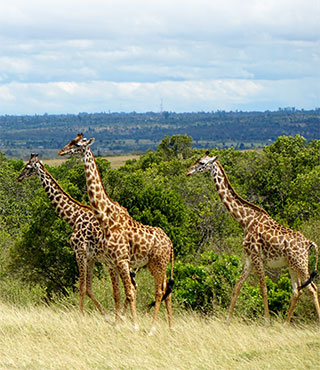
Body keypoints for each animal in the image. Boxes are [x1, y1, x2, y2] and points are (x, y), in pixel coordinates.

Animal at [17, 152, 132, 318]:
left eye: (27, 167)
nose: (19, 177)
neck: (74, 218)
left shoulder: (80, 253)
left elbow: (82, 287)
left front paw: (80, 315)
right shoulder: (91, 258)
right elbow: (89, 288)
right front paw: (104, 315)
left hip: (114, 260)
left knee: (126, 287)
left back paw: (123, 315)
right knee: (131, 286)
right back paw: (123, 315)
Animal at [58, 134, 174, 332]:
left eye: (77, 144)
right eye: (70, 140)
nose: (61, 151)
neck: (107, 219)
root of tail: (170, 243)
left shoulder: (121, 260)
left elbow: (130, 292)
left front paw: (134, 326)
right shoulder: (112, 262)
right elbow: (118, 293)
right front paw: (118, 325)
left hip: (160, 263)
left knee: (159, 291)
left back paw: (152, 329)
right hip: (154, 264)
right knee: (166, 290)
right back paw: (171, 326)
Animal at [185, 152, 320, 326]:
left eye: (201, 162)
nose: (188, 172)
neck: (244, 221)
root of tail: (309, 243)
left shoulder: (256, 257)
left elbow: (263, 289)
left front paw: (267, 323)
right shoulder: (249, 259)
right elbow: (237, 287)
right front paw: (227, 321)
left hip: (300, 263)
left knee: (312, 289)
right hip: (292, 265)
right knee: (297, 290)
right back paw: (285, 324)